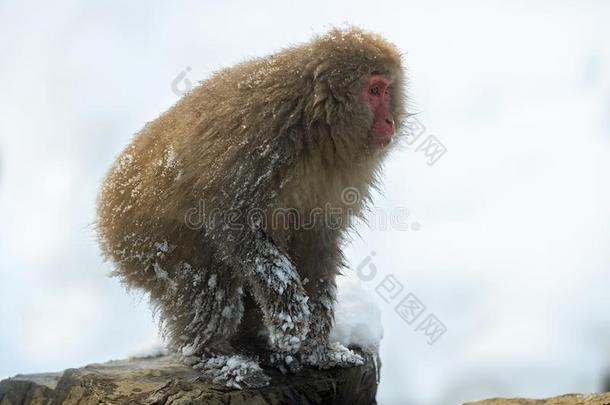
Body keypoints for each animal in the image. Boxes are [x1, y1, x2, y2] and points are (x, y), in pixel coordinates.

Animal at [96, 26, 404, 386]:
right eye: (374, 90)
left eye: (388, 89)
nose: (389, 120)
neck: (314, 128)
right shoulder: (261, 139)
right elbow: (232, 222)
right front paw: (290, 314)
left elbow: (316, 245)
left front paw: (316, 349)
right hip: (146, 242)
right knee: (205, 280)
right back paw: (214, 355)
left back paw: (257, 348)